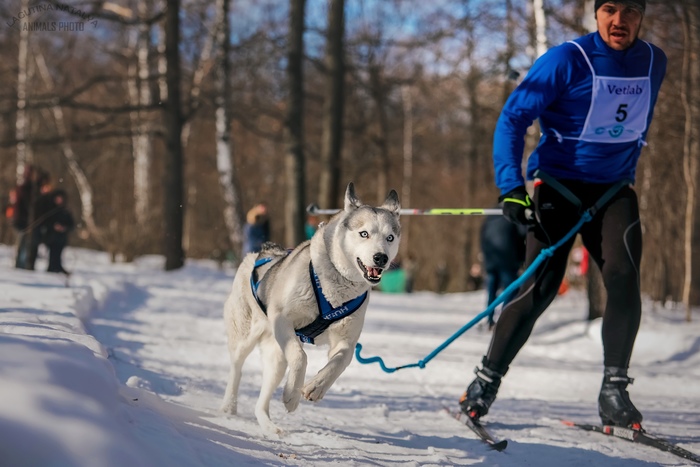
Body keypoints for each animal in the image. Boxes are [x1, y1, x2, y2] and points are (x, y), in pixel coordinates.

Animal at [221, 183, 402, 436]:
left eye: (390, 237)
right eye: (364, 233)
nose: (381, 258)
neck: (334, 290)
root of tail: (261, 253)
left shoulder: (346, 341)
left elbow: (340, 362)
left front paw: (316, 387)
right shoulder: (282, 320)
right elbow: (300, 356)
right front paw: (291, 394)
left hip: (276, 358)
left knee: (261, 401)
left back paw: (269, 425)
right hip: (246, 337)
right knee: (236, 367)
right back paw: (229, 405)